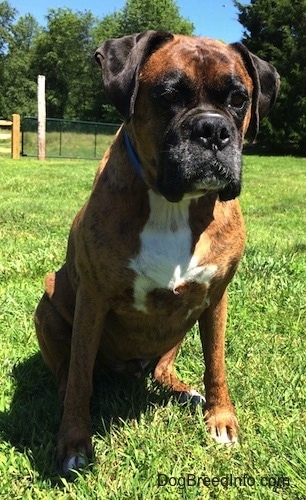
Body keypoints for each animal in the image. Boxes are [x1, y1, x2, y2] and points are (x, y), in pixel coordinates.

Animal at [34, 31, 278, 472]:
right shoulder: (93, 299)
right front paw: (74, 442)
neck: (173, 205)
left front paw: (221, 418)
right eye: (169, 95)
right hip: (47, 302)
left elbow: (216, 363)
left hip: (178, 328)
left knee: (163, 367)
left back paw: (183, 390)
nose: (213, 130)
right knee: (67, 370)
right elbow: (79, 375)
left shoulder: (216, 298)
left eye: (239, 99)